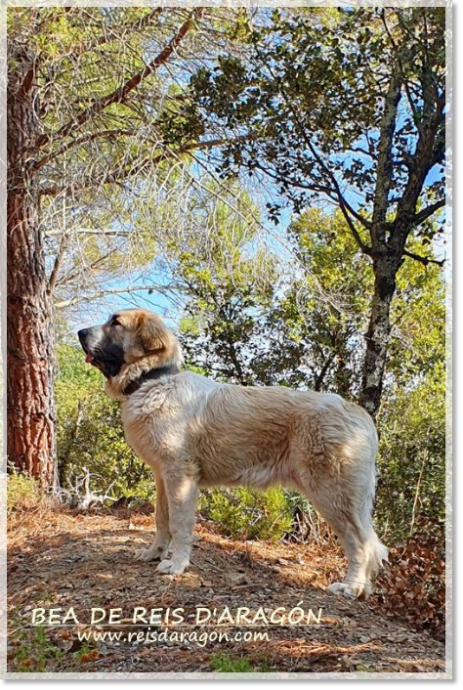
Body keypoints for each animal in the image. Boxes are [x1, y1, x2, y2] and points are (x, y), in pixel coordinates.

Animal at [79, 308, 388, 596]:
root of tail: (359, 413)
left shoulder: (180, 476)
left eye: (116, 323)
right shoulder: (163, 476)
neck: (153, 380)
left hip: (332, 495)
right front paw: (154, 553)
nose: (80, 332)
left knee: (361, 544)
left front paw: (176, 565)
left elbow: (179, 523)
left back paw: (352, 587)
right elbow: (161, 519)